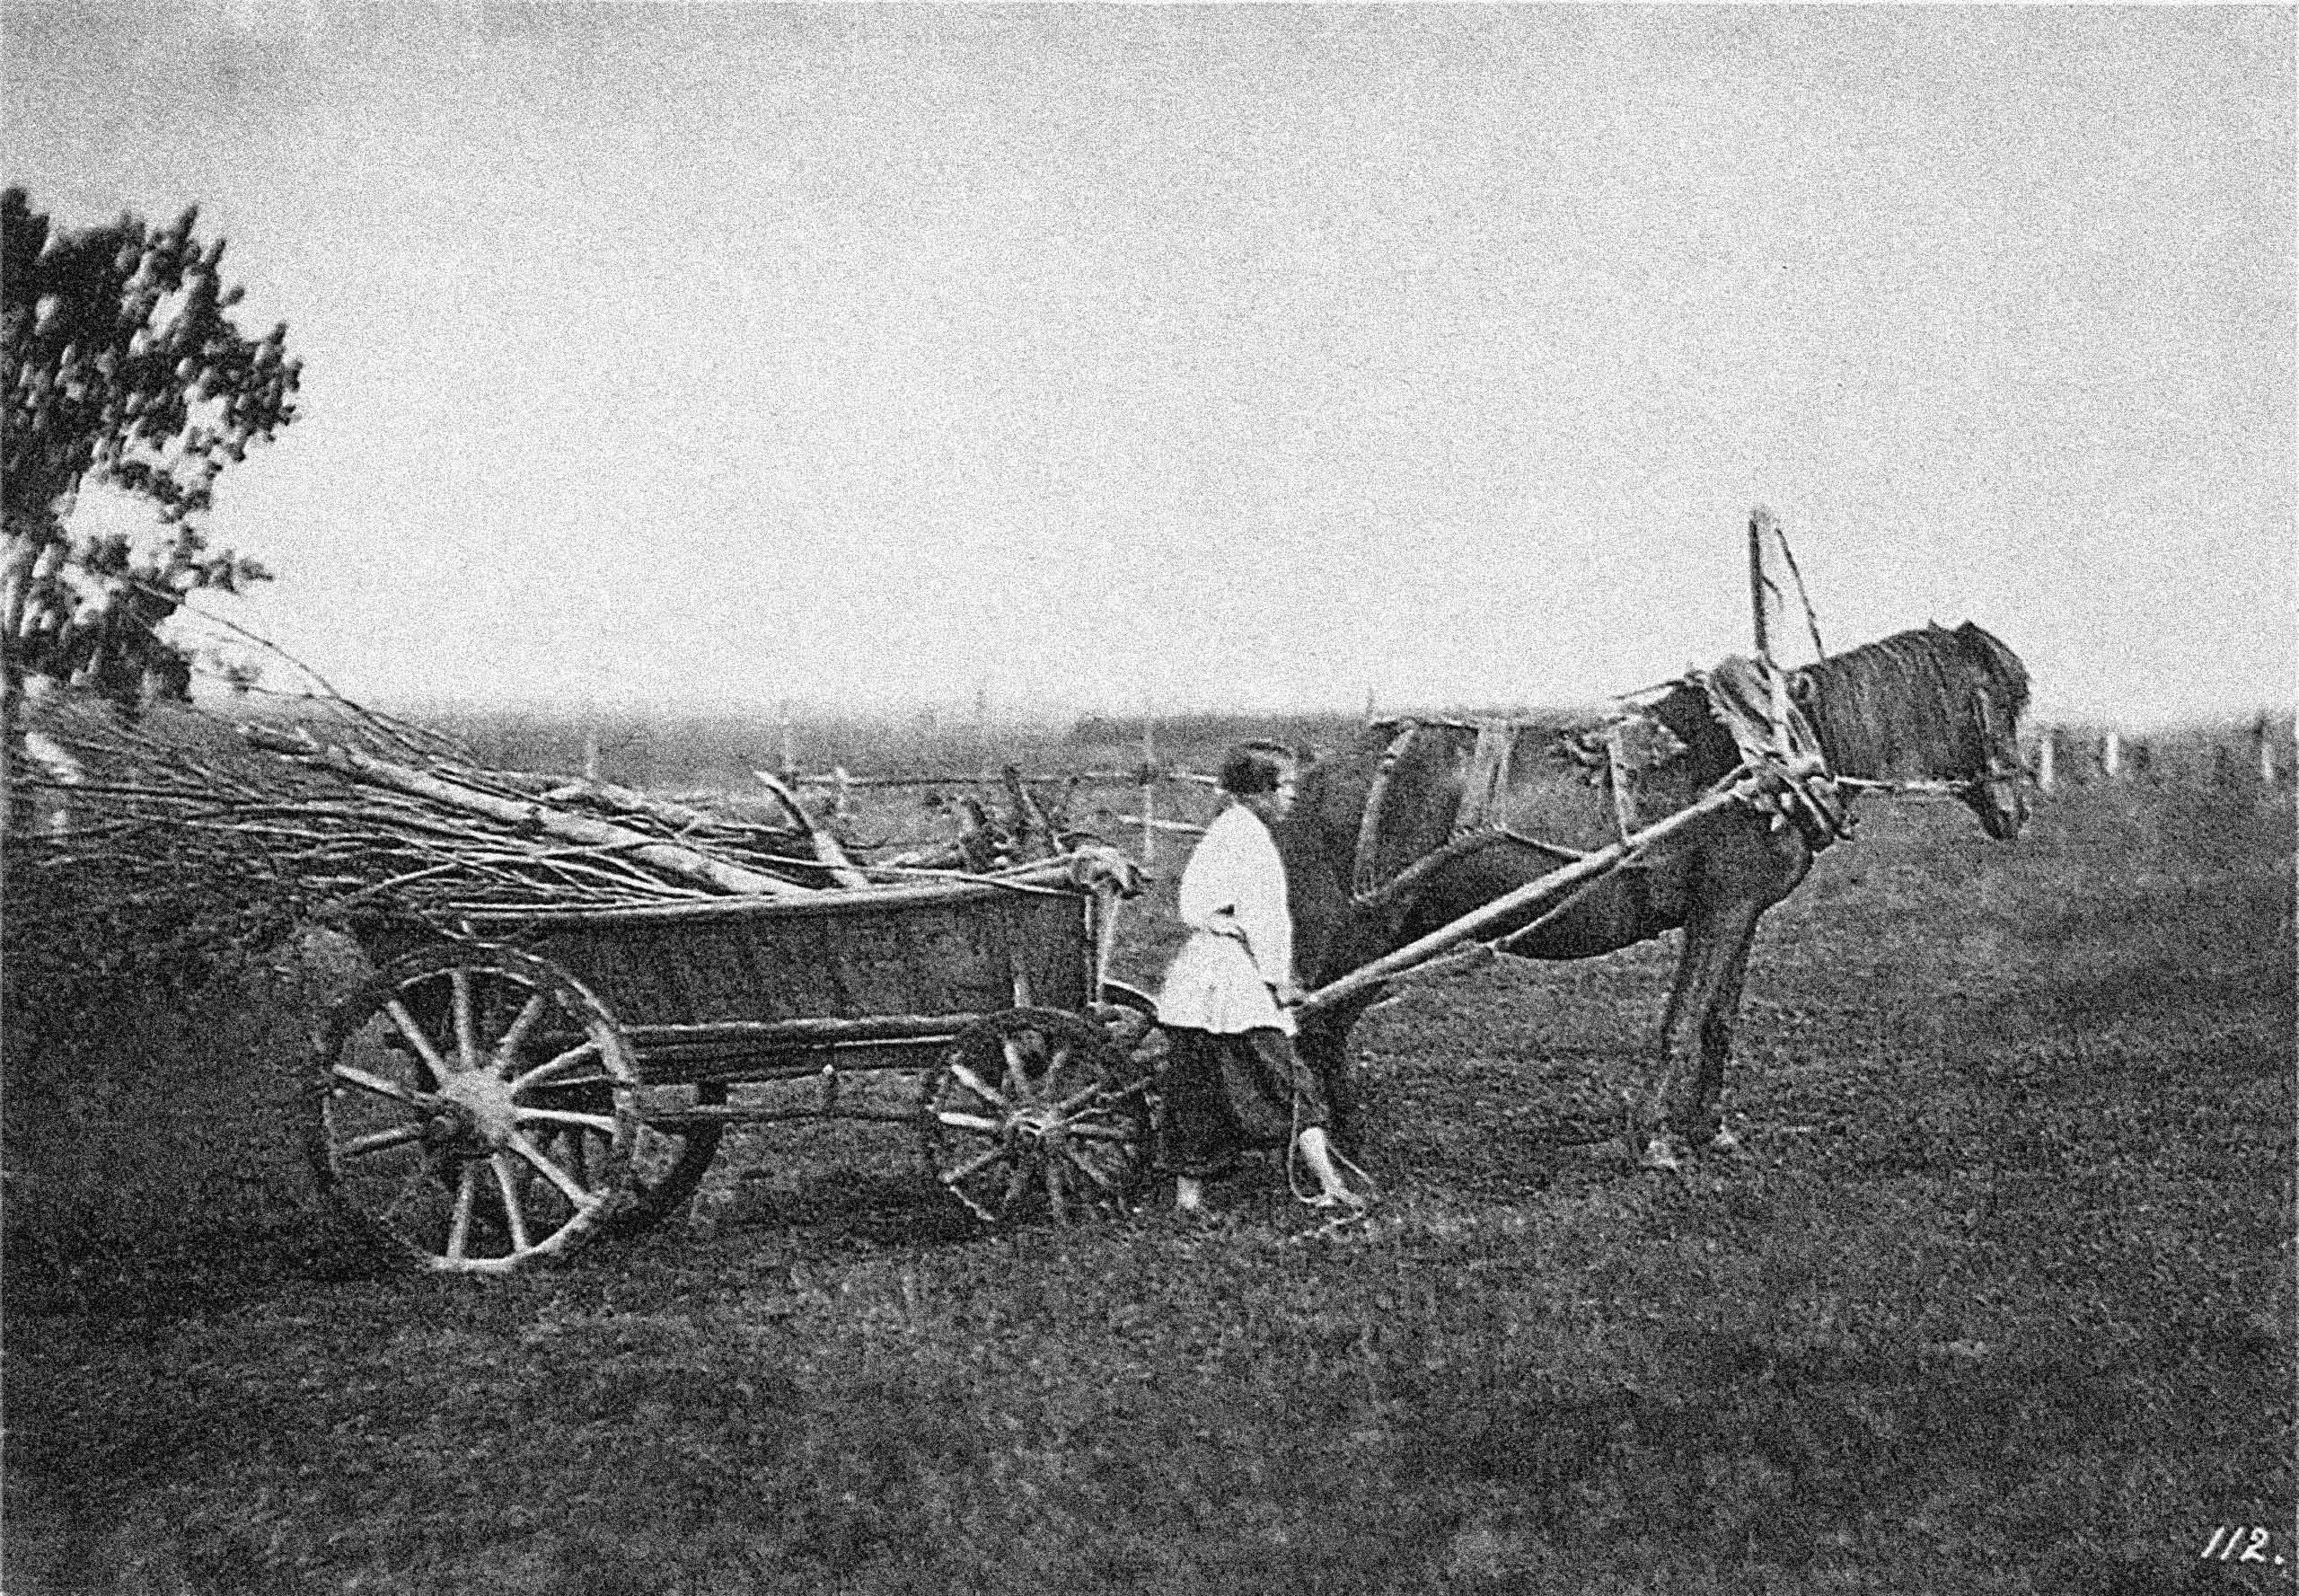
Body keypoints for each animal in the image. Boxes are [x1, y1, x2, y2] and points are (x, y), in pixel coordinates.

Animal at [1278, 625, 2032, 1177]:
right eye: (2000, 701)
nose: (2018, 809)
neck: (1769, 764)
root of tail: (1317, 773)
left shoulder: (1740, 912)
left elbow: (1718, 1023)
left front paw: (1711, 1131)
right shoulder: (1720, 906)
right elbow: (1680, 1022)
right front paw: (1653, 1142)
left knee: (1323, 1024)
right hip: (1370, 925)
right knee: (1321, 1023)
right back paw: (1342, 1149)